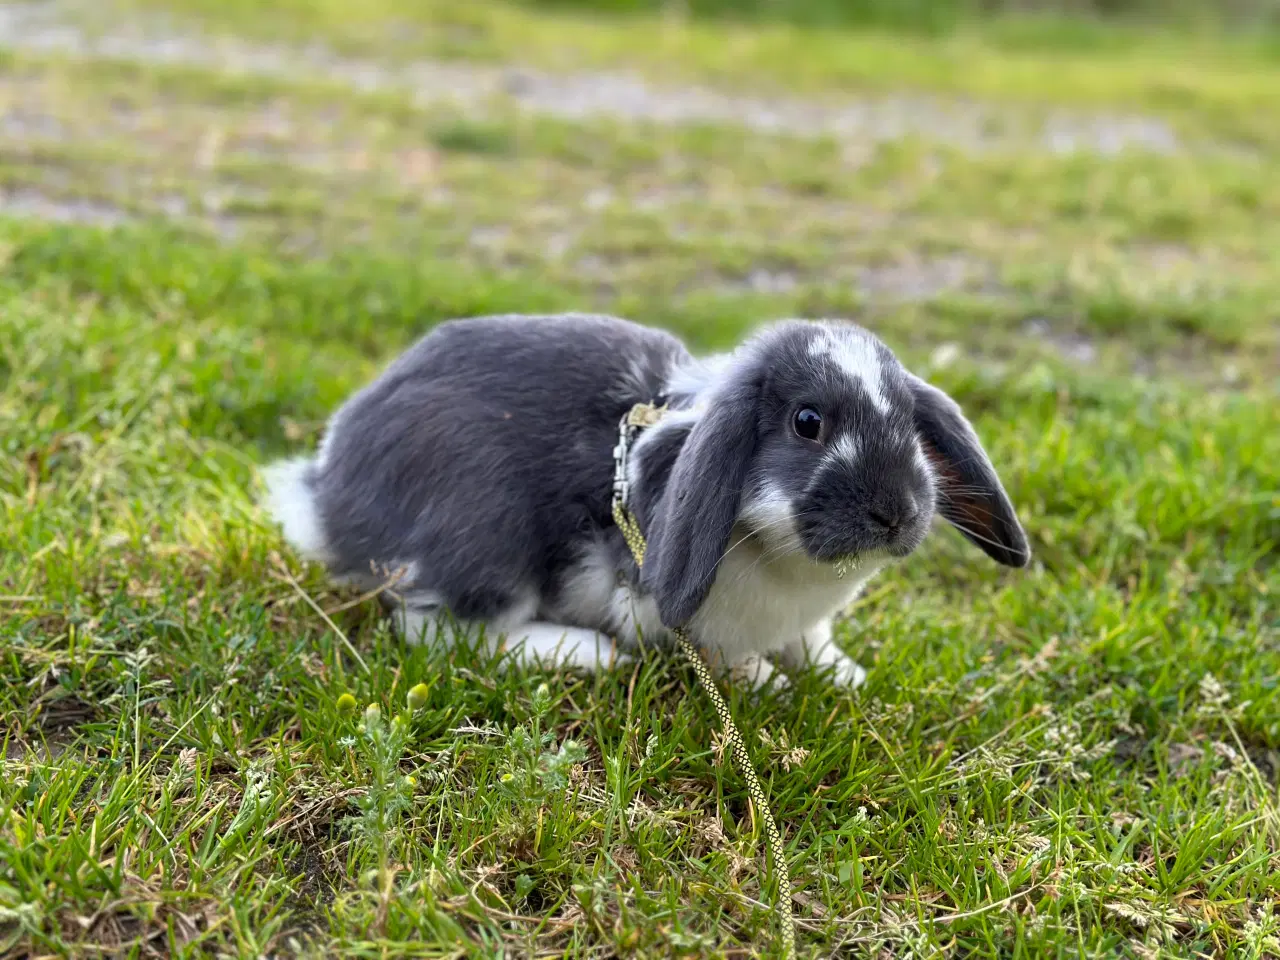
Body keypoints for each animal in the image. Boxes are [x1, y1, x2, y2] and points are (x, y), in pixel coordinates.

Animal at [262, 312, 1029, 686]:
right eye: (808, 422)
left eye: (912, 422)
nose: (896, 512)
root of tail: (329, 494)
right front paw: (768, 682)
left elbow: (813, 642)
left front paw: (844, 675)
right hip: (486, 536)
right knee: (439, 628)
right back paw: (584, 654)